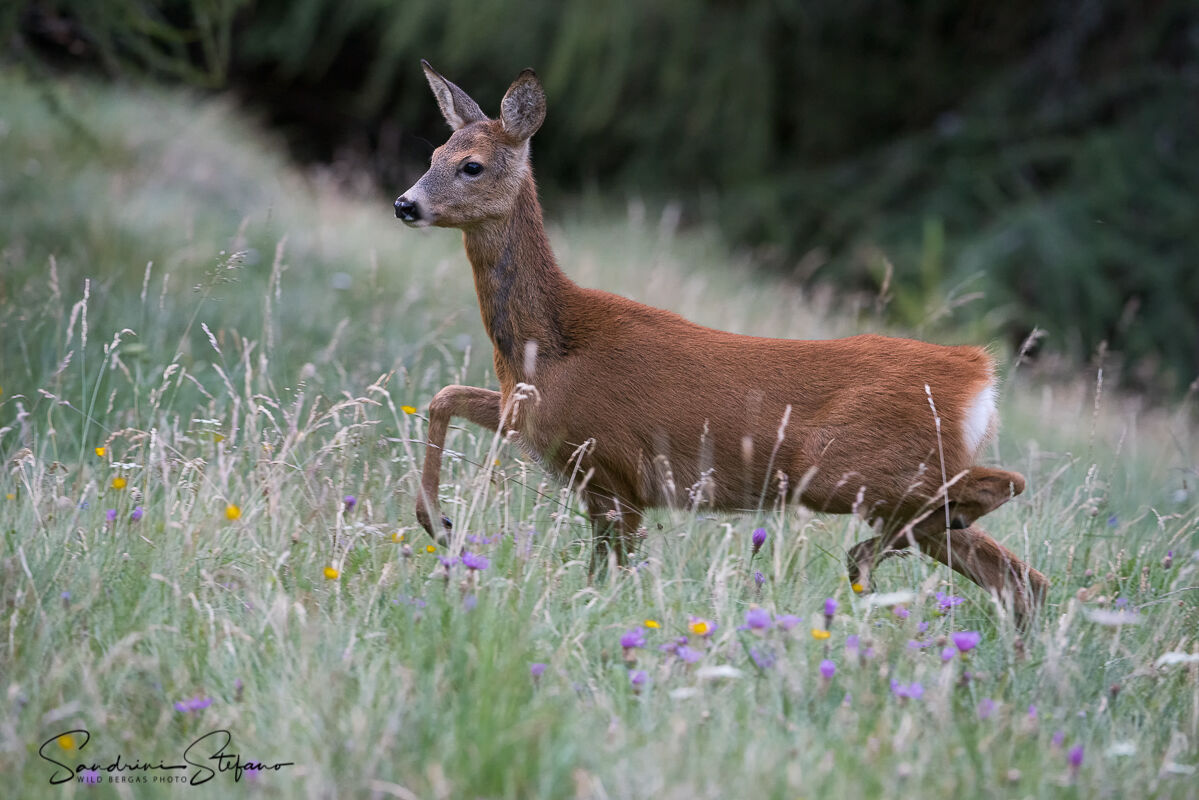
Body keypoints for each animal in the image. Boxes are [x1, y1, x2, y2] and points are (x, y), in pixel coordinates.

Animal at [394, 61, 1049, 622]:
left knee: (1003, 489)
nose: (405, 203)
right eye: (432, 154)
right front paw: (436, 521)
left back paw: (863, 561)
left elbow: (608, 574)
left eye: (472, 165)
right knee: (1020, 577)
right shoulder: (535, 425)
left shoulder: (614, 469)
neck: (547, 347)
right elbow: (444, 396)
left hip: (850, 468)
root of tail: (978, 373)